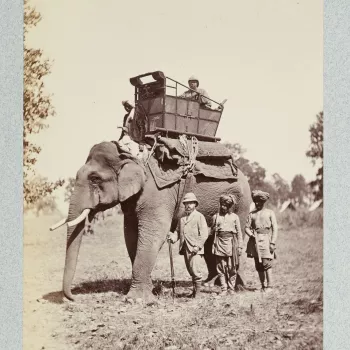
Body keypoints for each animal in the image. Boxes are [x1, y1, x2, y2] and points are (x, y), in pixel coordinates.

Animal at [53, 140, 252, 300]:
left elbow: (153, 232)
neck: (130, 154)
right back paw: (211, 284)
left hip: (241, 203)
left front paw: (135, 299)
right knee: (211, 241)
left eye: (95, 179)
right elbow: (130, 235)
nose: (73, 298)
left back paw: (236, 287)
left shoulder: (157, 193)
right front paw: (153, 289)